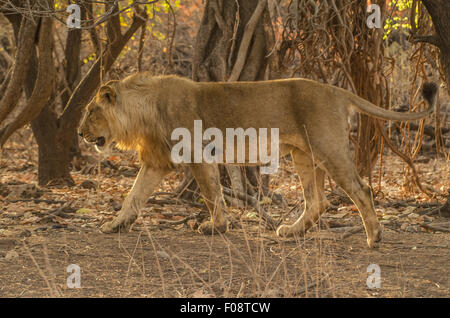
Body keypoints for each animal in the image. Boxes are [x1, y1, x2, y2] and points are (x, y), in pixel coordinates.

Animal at [77, 72, 436, 248]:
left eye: (91, 112)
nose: (79, 133)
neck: (143, 111)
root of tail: (337, 90)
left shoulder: (196, 153)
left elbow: (211, 194)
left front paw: (216, 227)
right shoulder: (157, 161)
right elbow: (134, 196)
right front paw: (115, 224)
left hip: (328, 148)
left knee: (361, 189)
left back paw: (374, 238)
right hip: (304, 155)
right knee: (318, 201)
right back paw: (291, 232)